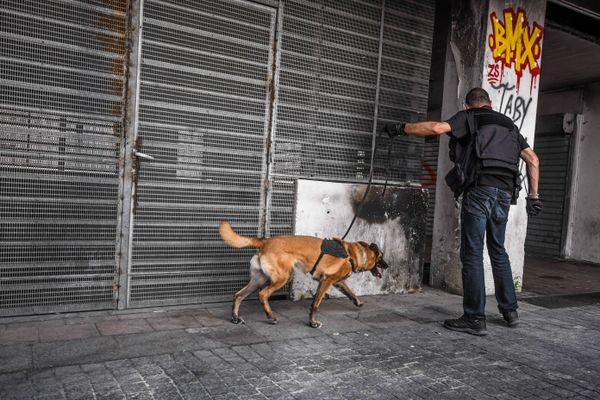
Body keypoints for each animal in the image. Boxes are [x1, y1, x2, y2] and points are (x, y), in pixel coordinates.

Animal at [219, 222, 390, 328]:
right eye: (381, 257)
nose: (387, 266)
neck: (353, 254)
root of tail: (265, 241)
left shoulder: (336, 281)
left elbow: (350, 292)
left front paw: (358, 302)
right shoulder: (326, 281)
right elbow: (316, 304)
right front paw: (313, 323)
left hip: (259, 279)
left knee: (238, 295)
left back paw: (235, 318)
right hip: (283, 277)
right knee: (262, 294)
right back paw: (271, 317)